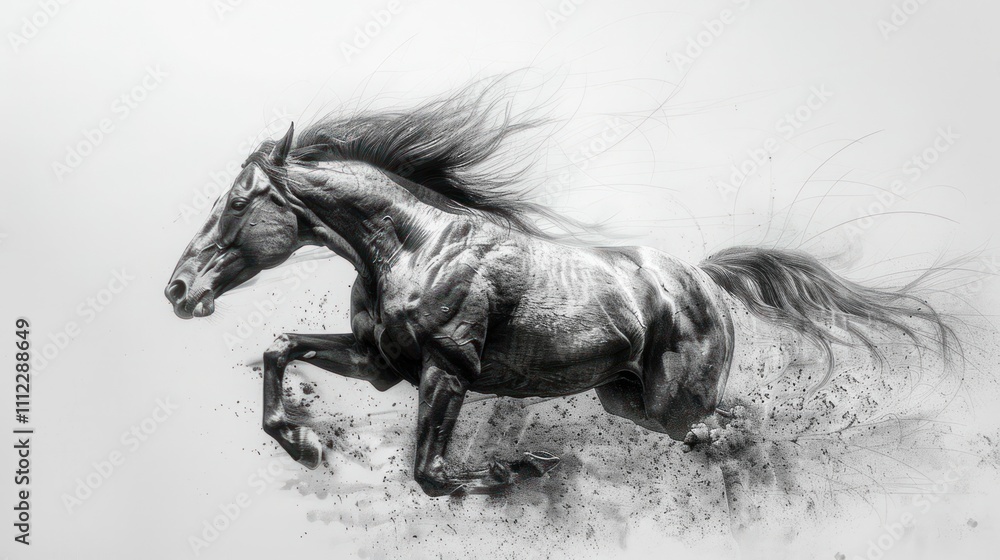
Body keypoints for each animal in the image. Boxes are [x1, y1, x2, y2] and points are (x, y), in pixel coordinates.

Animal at [165, 87, 952, 496]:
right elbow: (280, 349)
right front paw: (304, 442)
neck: (415, 246)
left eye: (238, 200)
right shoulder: (381, 363)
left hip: (676, 400)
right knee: (722, 435)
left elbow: (434, 473)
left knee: (733, 429)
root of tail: (704, 278)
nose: (177, 289)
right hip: (630, 401)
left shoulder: (446, 371)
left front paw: (523, 466)